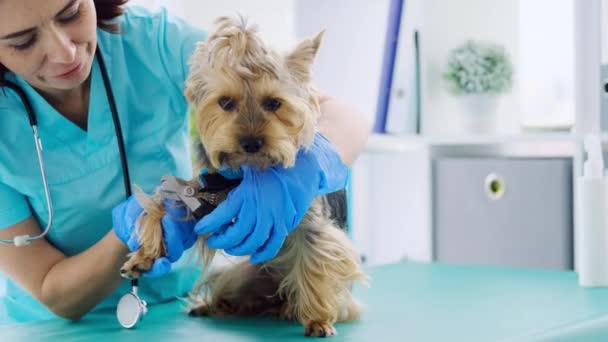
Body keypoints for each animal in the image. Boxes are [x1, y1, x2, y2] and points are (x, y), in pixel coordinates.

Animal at [120, 16, 366, 336]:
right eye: (225, 102)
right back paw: (214, 305)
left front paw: (317, 319)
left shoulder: (311, 225)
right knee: (234, 291)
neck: (247, 173)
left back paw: (290, 308)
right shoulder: (207, 200)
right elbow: (161, 205)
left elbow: (315, 260)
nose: (250, 142)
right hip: (242, 275)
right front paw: (143, 254)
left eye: (274, 103)